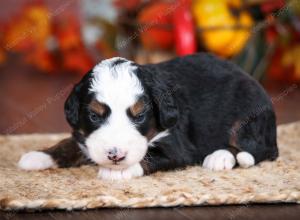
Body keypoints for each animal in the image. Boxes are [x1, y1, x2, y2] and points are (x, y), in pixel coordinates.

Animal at [17, 53, 278, 180]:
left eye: (140, 115)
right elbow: (71, 143)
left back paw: (220, 157)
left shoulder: (177, 146)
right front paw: (39, 156)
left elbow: (150, 156)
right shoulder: (86, 136)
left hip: (247, 115)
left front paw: (119, 171)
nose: (115, 155)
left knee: (257, 148)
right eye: (94, 115)